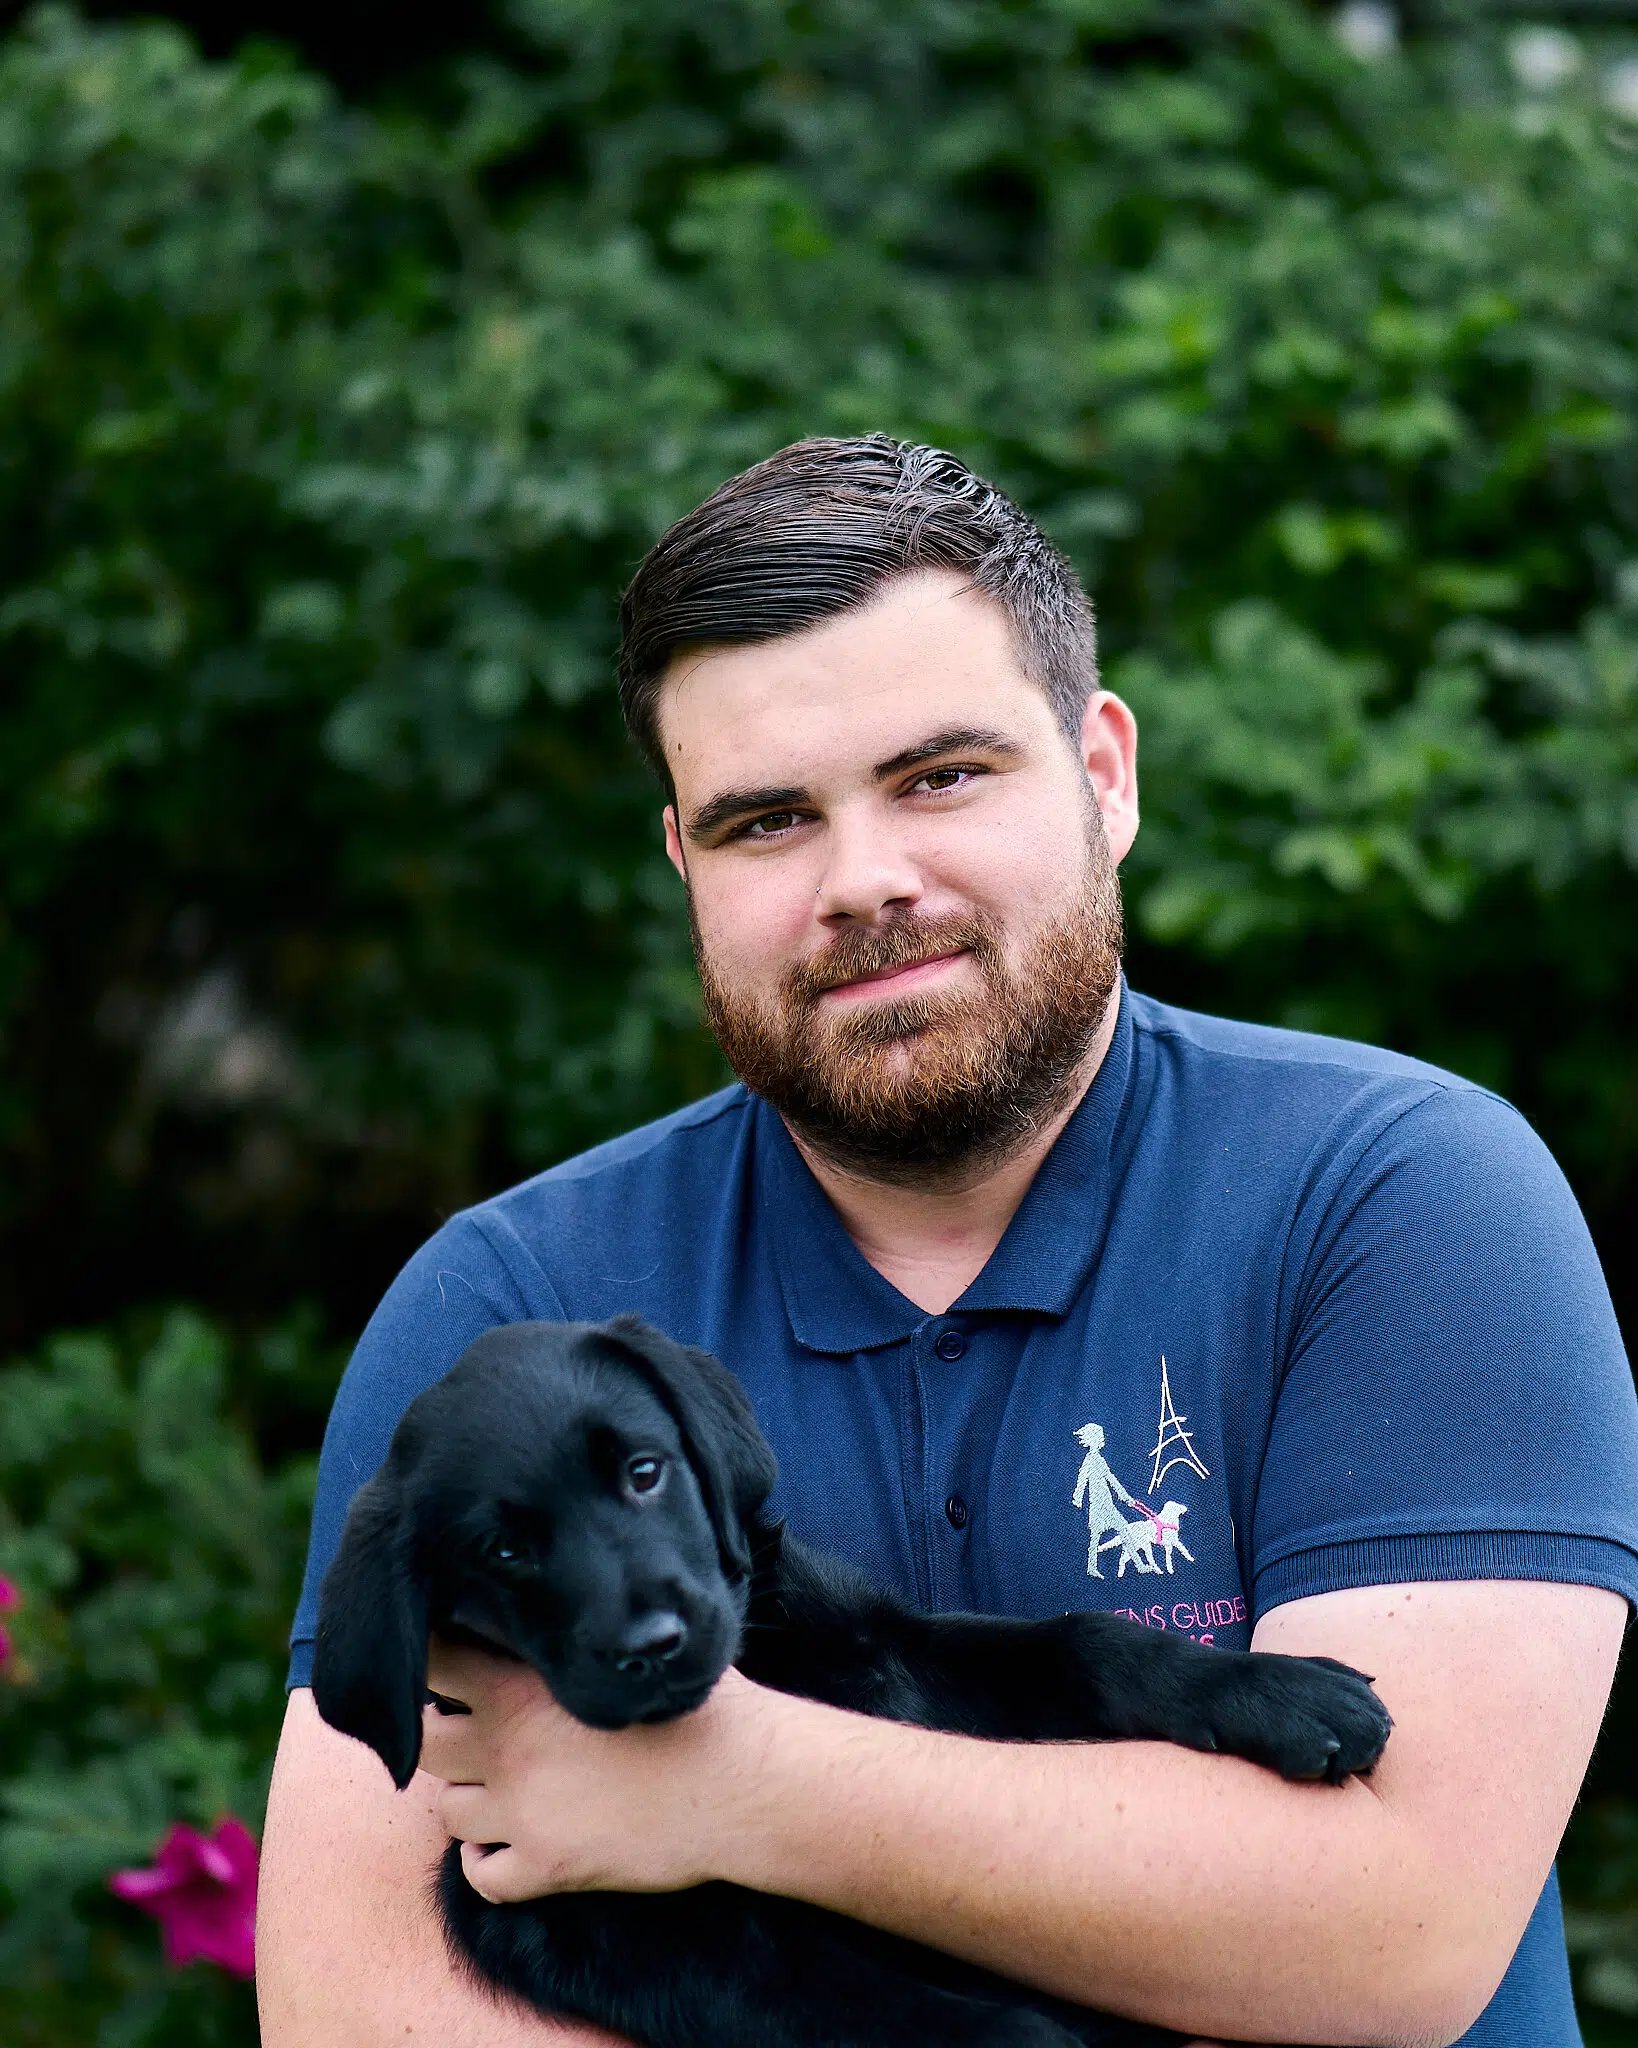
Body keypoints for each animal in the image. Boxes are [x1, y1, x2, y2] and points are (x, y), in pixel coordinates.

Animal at [313, 1318, 1392, 2039]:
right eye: (502, 1551)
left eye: (644, 1471)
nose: (654, 1642)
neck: (757, 1666)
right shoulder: (595, 1921)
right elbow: (836, 1993)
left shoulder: (895, 1651)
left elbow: (1085, 1640)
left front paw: (1283, 1691)